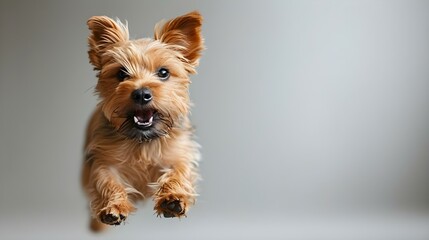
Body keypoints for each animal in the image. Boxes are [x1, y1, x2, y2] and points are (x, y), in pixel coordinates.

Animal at [82, 10, 206, 231]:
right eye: (121, 73)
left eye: (163, 72)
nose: (141, 93)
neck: (143, 139)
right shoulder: (103, 160)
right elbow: (107, 181)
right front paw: (113, 207)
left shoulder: (180, 152)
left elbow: (179, 171)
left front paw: (173, 199)